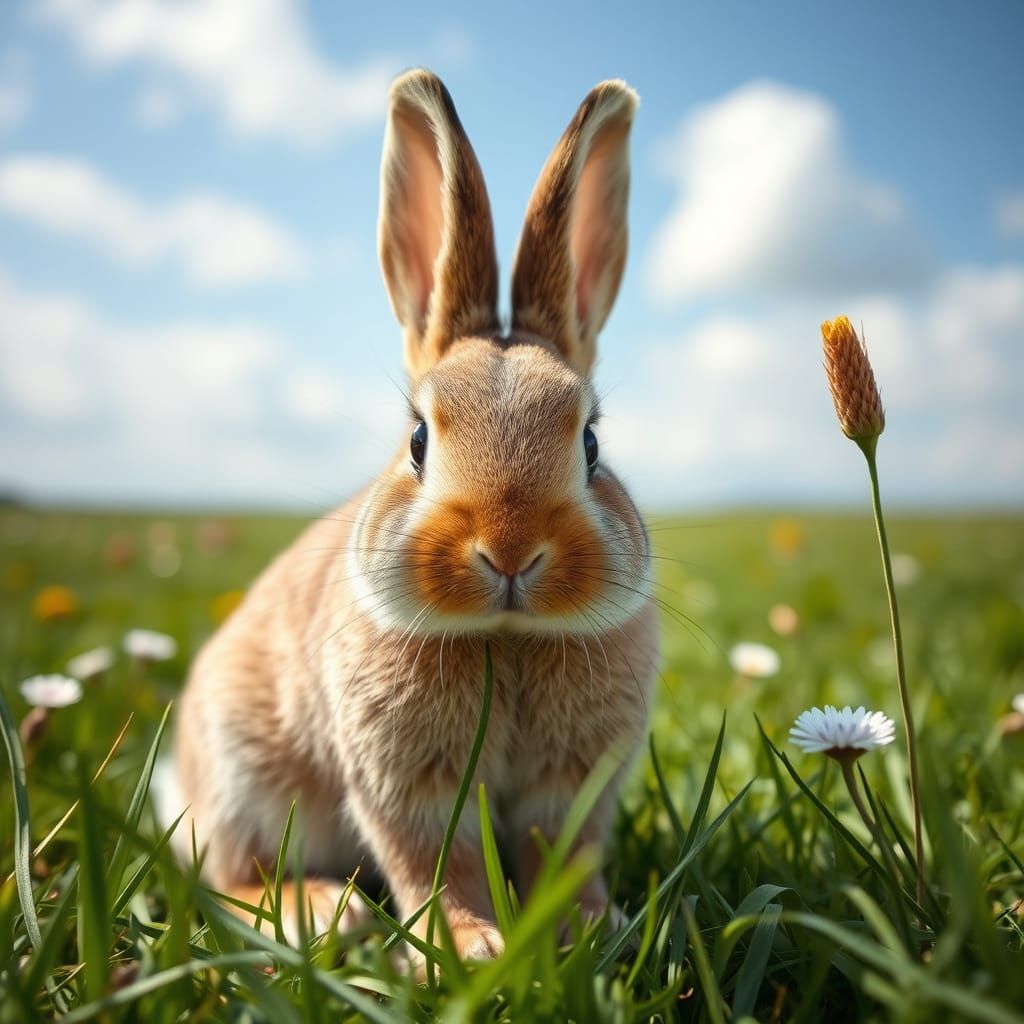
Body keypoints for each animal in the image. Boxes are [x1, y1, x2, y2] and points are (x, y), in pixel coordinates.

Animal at [168, 68, 658, 961]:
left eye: (592, 442)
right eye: (419, 440)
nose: (509, 550)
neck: (506, 637)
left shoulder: (569, 786)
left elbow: (562, 853)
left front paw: (589, 927)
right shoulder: (409, 785)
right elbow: (437, 863)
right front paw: (473, 947)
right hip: (245, 775)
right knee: (223, 879)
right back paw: (322, 911)